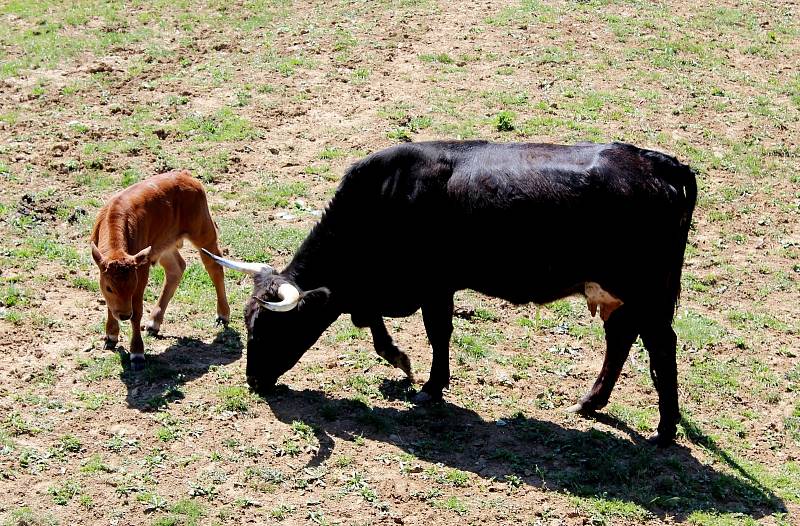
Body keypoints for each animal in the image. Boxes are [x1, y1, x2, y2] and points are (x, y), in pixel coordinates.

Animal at [94, 171, 231, 370]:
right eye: (110, 287)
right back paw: (154, 323)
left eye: (132, 286)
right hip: (165, 245)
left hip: (204, 235)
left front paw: (137, 354)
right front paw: (110, 336)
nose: (124, 315)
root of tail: (186, 175)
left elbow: (137, 311)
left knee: (215, 266)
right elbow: (109, 304)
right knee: (177, 268)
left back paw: (222, 315)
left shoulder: (141, 272)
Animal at [209, 140, 696, 446]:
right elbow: (371, 320)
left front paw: (428, 385)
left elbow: (436, 333)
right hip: (620, 295)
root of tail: (660, 162)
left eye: (269, 328)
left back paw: (664, 430)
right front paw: (400, 361)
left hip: (647, 292)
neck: (385, 198)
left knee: (660, 347)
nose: (253, 381)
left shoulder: (433, 286)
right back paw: (591, 403)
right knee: (621, 341)